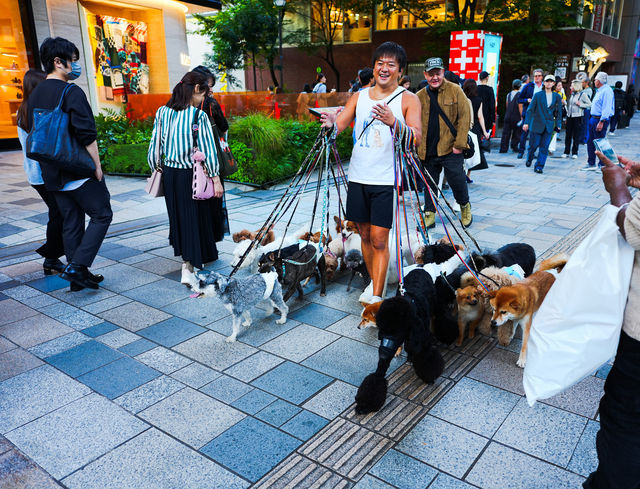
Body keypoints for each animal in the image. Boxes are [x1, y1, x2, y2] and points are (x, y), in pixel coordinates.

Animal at [356, 268, 444, 414]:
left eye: (365, 319)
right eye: (383, 330)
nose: (358, 327)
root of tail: (419, 268)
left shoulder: (420, 335)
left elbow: (425, 354)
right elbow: (380, 371)